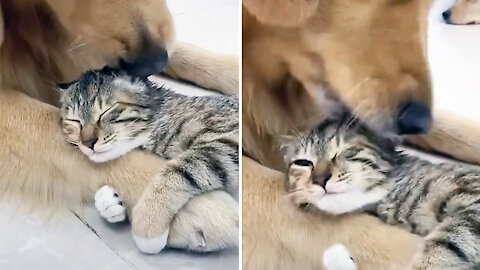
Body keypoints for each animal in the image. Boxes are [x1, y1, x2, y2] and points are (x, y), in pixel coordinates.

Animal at [60, 67, 240, 253]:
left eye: (105, 112)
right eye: (75, 121)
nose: (87, 143)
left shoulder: (228, 137)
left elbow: (178, 171)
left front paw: (148, 226)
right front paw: (109, 202)